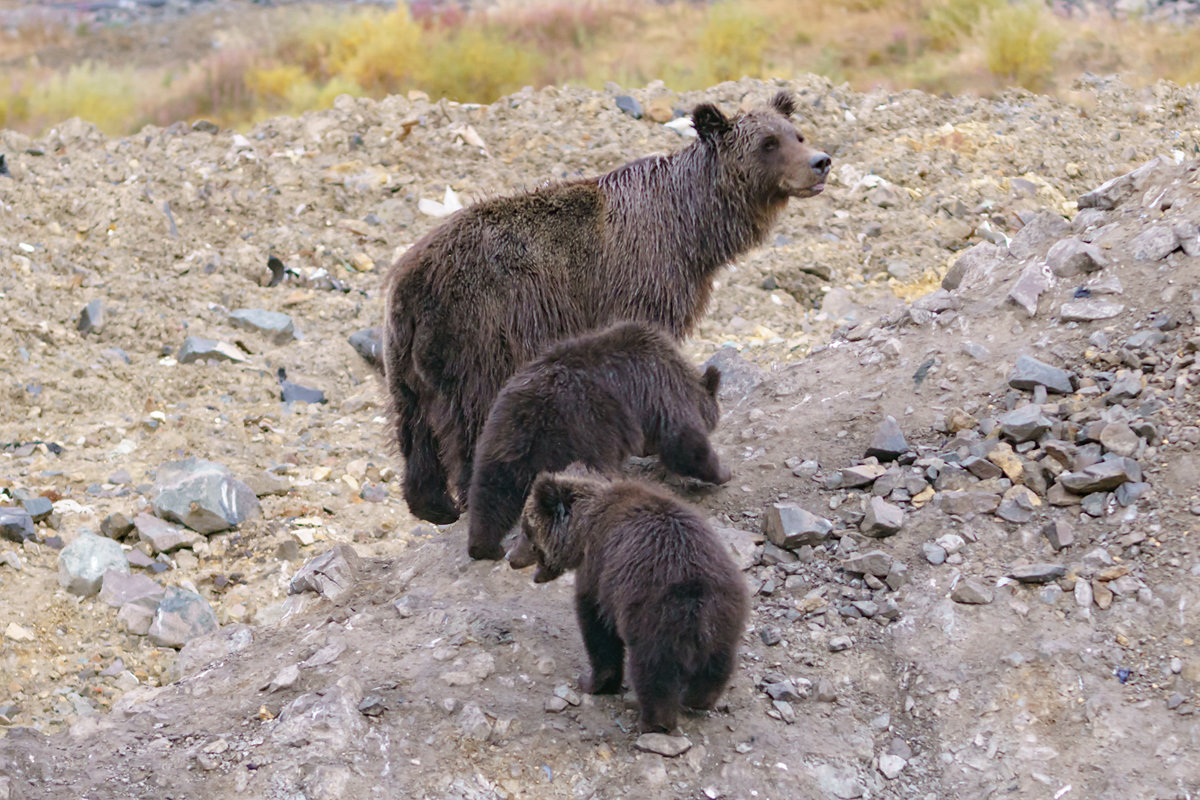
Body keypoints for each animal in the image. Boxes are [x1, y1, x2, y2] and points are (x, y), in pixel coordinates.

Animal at [379, 90, 830, 525]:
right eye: (768, 143)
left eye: (797, 134)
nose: (820, 162)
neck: (692, 230)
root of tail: (409, 277)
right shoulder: (643, 281)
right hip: (481, 332)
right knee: (472, 416)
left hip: (408, 358)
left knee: (414, 428)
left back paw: (434, 506)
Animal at [468, 321, 729, 561]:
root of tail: (527, 413)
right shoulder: (662, 388)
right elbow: (684, 440)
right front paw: (721, 473)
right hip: (584, 435)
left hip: (498, 441)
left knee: (491, 494)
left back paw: (485, 547)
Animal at [516, 472, 748, 734]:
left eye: (526, 529)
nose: (511, 556)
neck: (581, 532)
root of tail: (697, 592)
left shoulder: (600, 572)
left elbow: (597, 628)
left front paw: (592, 681)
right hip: (725, 614)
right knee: (717, 665)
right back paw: (697, 700)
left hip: (654, 614)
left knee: (654, 671)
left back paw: (654, 722)